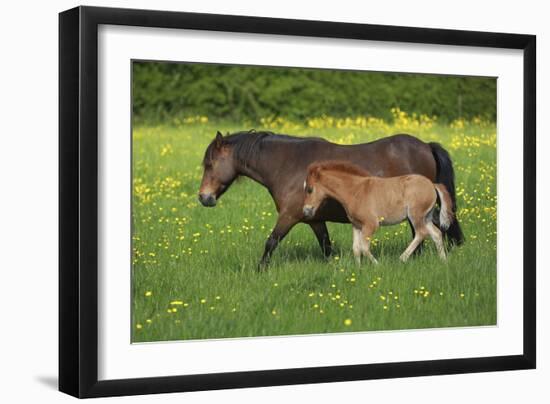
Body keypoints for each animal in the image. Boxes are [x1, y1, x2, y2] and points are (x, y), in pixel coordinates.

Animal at [304, 161, 454, 266]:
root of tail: (432, 184)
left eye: (310, 189)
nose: (306, 210)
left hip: (416, 215)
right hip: (425, 217)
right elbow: (356, 248)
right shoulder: (356, 225)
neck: (356, 191)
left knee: (421, 233)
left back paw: (402, 258)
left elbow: (364, 247)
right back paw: (444, 260)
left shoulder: (371, 224)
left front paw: (377, 265)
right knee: (436, 233)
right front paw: (358, 269)